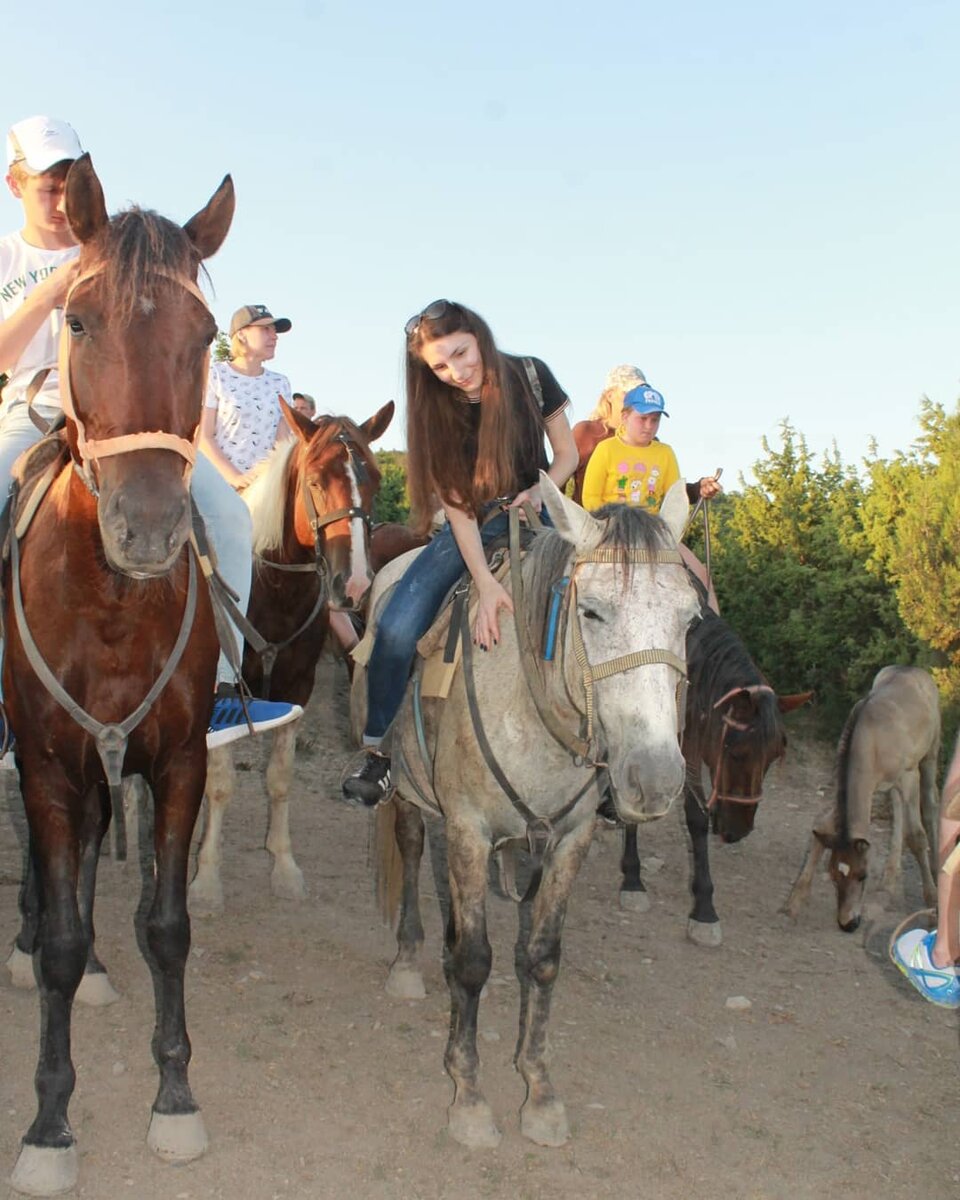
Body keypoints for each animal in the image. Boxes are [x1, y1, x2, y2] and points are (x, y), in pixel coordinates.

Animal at [188, 403, 393, 907]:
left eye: (376, 482)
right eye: (316, 481)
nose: (354, 584)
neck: (273, 591)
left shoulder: (296, 688)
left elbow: (279, 779)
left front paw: (283, 866)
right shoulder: (223, 689)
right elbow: (219, 784)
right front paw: (206, 879)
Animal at [352, 472, 696, 1147]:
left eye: (690, 618)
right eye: (592, 611)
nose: (655, 778)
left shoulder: (570, 840)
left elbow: (540, 959)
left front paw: (538, 1092)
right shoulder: (468, 829)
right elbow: (474, 962)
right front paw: (469, 1096)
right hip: (406, 792)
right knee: (412, 847)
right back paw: (407, 961)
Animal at [614, 604, 811, 940]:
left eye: (773, 758)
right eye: (736, 752)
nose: (738, 831)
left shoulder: (692, 742)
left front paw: (704, 906)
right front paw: (634, 880)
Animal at [787, 667, 936, 926]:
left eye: (863, 876)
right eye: (833, 875)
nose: (848, 923)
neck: (870, 743)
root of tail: (913, 669)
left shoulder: (909, 776)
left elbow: (917, 837)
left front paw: (933, 905)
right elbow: (822, 824)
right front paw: (795, 900)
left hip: (929, 755)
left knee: (930, 804)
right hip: (892, 785)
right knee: (897, 811)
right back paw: (889, 880)